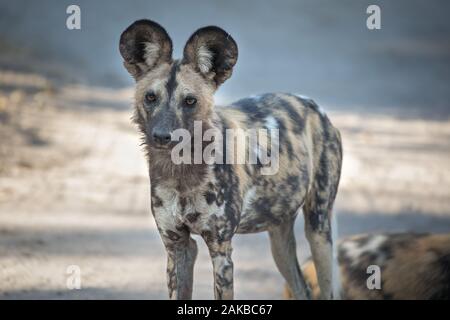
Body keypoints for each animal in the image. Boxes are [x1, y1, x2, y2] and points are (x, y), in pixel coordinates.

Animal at [118, 19, 342, 300]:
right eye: (150, 97)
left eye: (190, 101)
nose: (161, 136)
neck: (182, 173)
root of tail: (313, 105)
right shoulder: (178, 246)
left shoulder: (221, 252)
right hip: (279, 238)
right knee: (301, 289)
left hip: (318, 229)